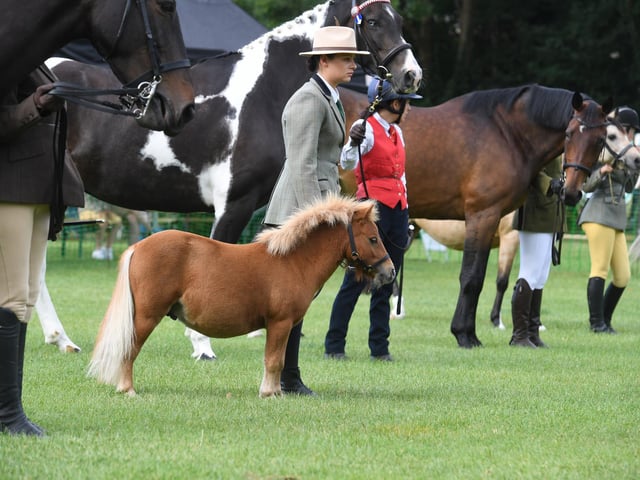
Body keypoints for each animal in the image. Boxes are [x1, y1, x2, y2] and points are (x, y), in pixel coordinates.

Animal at [87, 195, 395, 398]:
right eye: (372, 239)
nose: (390, 272)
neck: (292, 260)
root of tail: (138, 246)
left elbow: (277, 359)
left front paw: (274, 391)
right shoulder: (280, 323)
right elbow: (274, 360)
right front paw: (270, 394)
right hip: (147, 316)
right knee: (129, 348)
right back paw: (127, 389)